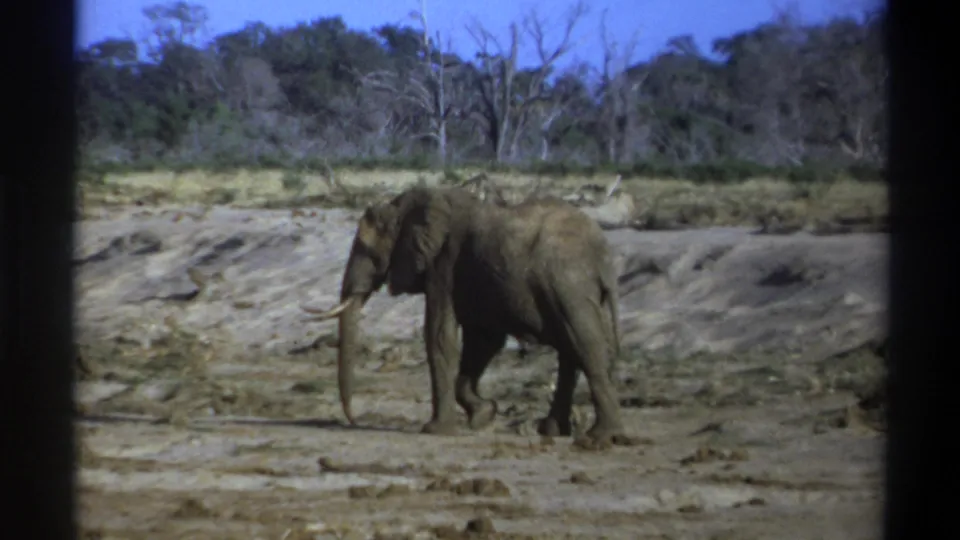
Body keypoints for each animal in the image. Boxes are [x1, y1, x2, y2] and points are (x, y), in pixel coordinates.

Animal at [302, 186, 628, 444]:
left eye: (367, 251)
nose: (352, 420)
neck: (408, 206)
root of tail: (603, 255)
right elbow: (482, 341)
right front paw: (484, 415)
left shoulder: (442, 265)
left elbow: (440, 335)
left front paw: (435, 430)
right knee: (570, 351)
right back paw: (552, 430)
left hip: (567, 284)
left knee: (585, 345)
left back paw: (601, 437)